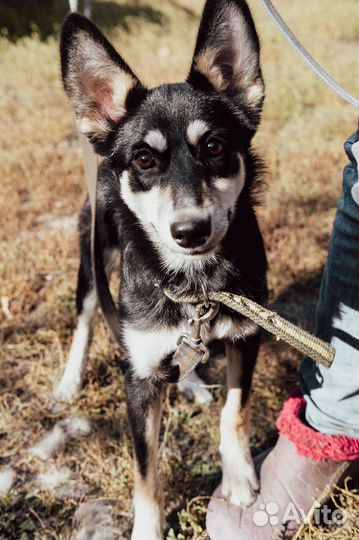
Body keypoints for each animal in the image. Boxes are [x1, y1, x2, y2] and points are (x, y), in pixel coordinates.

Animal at [56, 2, 268, 536]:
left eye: (214, 147)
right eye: (144, 159)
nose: (189, 231)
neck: (195, 286)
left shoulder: (247, 336)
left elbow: (236, 410)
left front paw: (239, 476)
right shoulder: (137, 384)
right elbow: (145, 472)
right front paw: (148, 529)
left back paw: (188, 378)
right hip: (93, 257)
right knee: (84, 321)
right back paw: (68, 382)